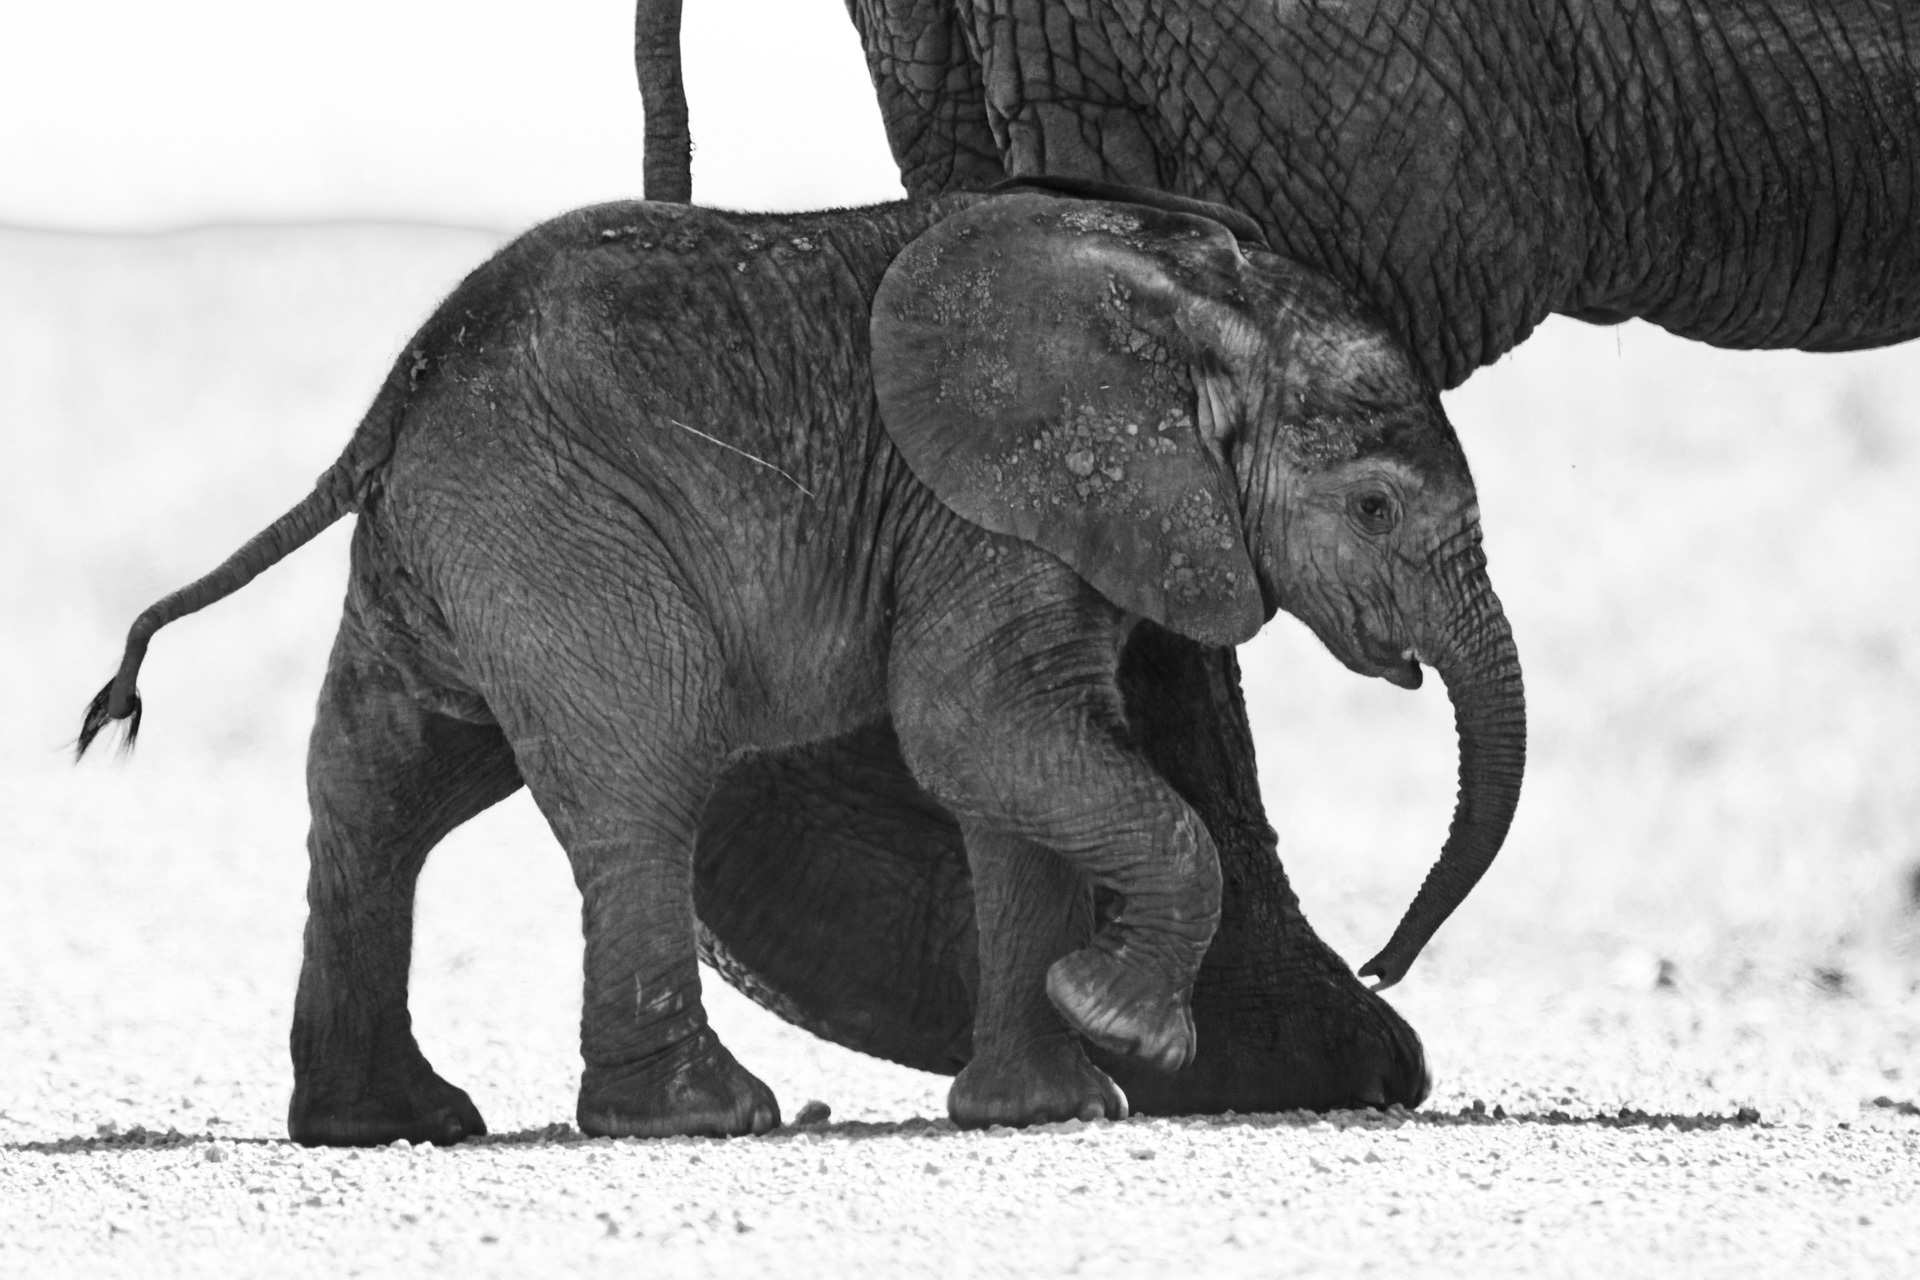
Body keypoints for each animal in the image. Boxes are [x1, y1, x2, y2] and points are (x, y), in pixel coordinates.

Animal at [82, 177, 1528, 1143]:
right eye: (1376, 508)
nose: (1388, 965)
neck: (1202, 306)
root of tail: (405, 383)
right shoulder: (978, 498)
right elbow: (976, 728)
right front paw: (1124, 1028)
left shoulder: (1039, 508)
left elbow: (1012, 773)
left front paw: (1049, 1104)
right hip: (561, 531)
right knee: (641, 776)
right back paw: (704, 1116)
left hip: (450, 549)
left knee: (383, 792)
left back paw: (392, 1121)